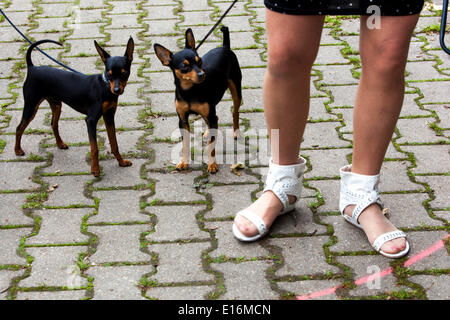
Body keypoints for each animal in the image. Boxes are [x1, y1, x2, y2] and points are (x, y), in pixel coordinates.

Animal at [14, 39, 134, 178]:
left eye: (124, 73)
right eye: (109, 75)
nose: (117, 90)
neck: (104, 87)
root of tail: (32, 67)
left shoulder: (109, 116)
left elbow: (114, 143)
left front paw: (121, 162)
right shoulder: (90, 120)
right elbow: (95, 148)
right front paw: (95, 169)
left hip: (56, 104)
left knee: (53, 124)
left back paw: (60, 144)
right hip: (31, 106)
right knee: (19, 128)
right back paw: (18, 150)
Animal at [154, 26, 243, 174]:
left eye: (200, 61)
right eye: (184, 66)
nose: (202, 74)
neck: (190, 91)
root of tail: (225, 46)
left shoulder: (210, 114)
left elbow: (211, 146)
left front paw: (212, 164)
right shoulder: (183, 120)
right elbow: (185, 144)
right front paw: (184, 162)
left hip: (236, 90)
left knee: (235, 112)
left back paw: (236, 132)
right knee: (213, 121)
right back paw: (208, 132)